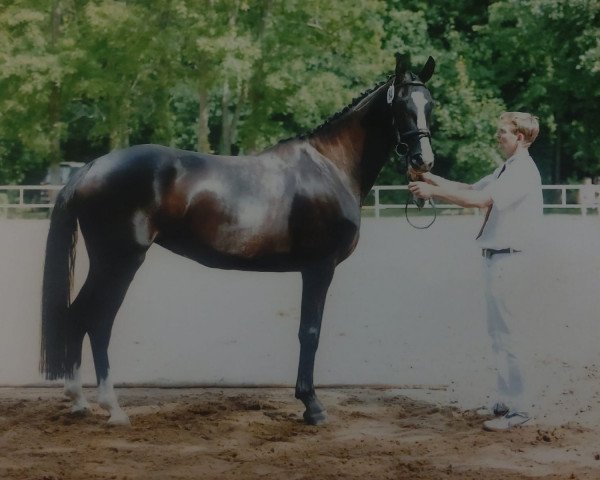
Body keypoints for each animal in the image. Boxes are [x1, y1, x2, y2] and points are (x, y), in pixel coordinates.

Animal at [42, 54, 436, 426]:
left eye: (429, 105)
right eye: (402, 106)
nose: (424, 161)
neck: (330, 167)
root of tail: (90, 168)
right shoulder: (319, 268)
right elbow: (310, 332)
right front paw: (312, 407)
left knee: (77, 318)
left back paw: (79, 401)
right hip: (119, 262)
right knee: (96, 321)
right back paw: (112, 408)